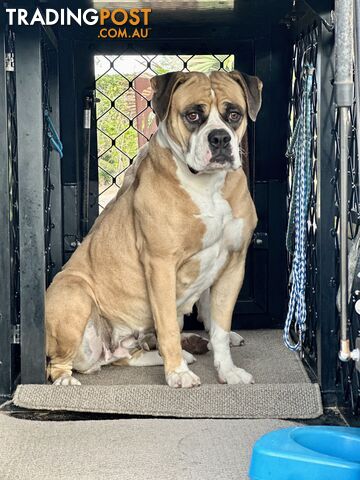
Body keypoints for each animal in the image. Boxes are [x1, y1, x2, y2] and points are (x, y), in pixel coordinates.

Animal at [46, 69, 262, 388]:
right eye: (193, 115)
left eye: (234, 114)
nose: (220, 138)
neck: (207, 186)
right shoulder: (161, 266)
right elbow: (169, 327)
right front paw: (178, 375)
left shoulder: (233, 265)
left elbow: (221, 328)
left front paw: (228, 370)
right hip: (74, 294)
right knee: (60, 363)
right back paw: (65, 380)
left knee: (125, 356)